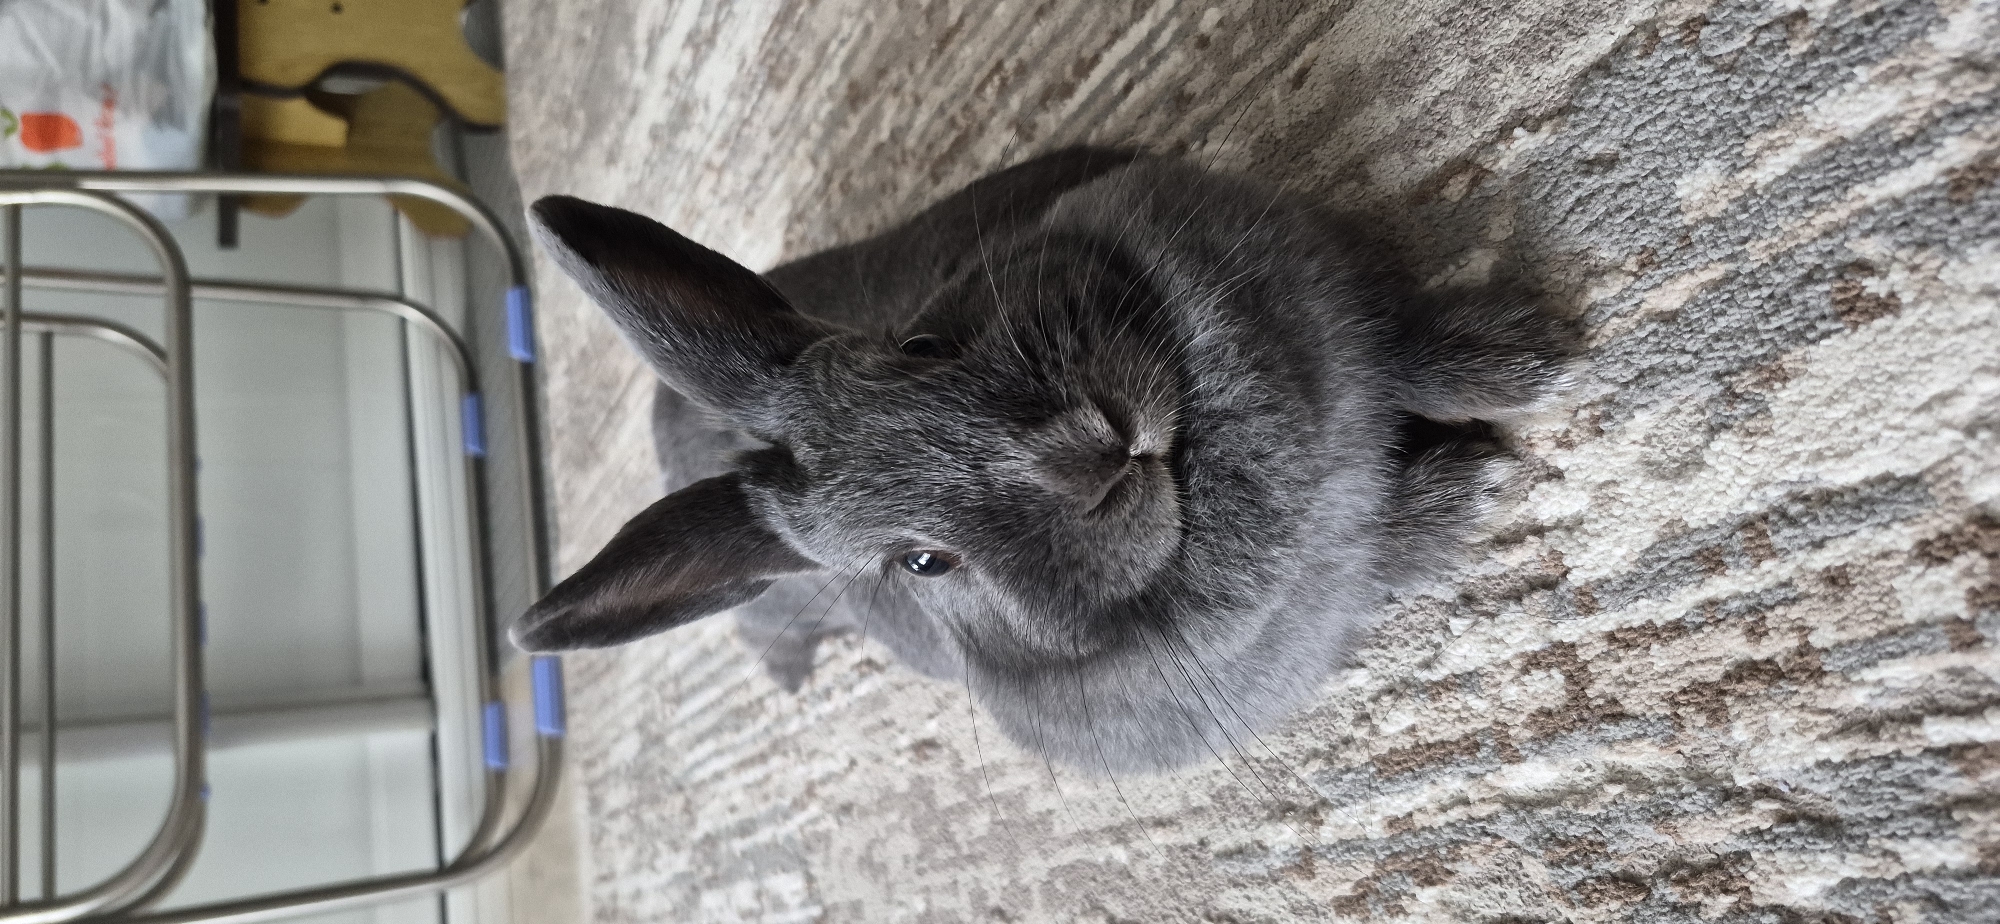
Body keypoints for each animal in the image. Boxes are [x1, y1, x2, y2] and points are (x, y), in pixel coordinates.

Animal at [514, 147, 1572, 774]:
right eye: (922, 563)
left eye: (919, 346)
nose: (1085, 450)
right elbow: (1385, 539)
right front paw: (1467, 484)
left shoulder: (1343, 309)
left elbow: (1409, 343)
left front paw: (1529, 354)